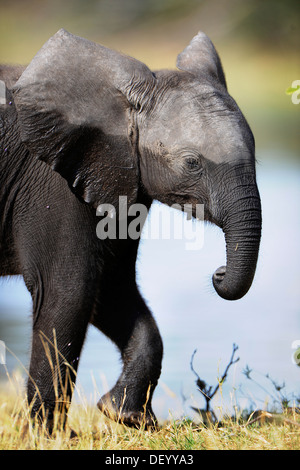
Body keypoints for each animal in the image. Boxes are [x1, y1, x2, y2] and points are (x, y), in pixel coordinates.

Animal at [0, 30, 262, 430]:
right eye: (192, 163)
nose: (218, 273)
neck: (119, 105)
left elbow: (110, 287)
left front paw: (123, 416)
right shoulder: (52, 183)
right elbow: (70, 290)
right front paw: (49, 435)